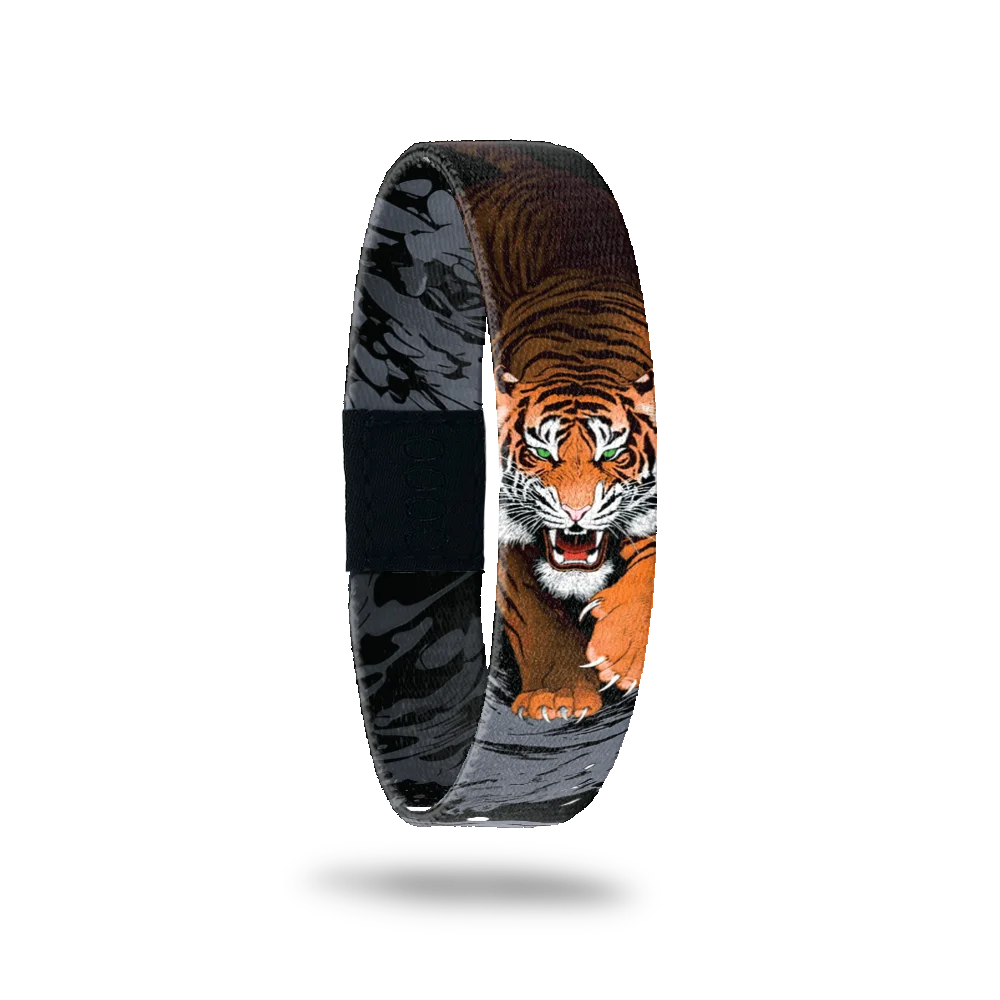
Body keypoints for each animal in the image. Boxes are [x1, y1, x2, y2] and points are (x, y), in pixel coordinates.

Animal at [455, 143, 657, 722]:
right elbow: (536, 618)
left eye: (613, 452)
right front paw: (559, 697)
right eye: (540, 453)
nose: (575, 512)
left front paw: (619, 651)